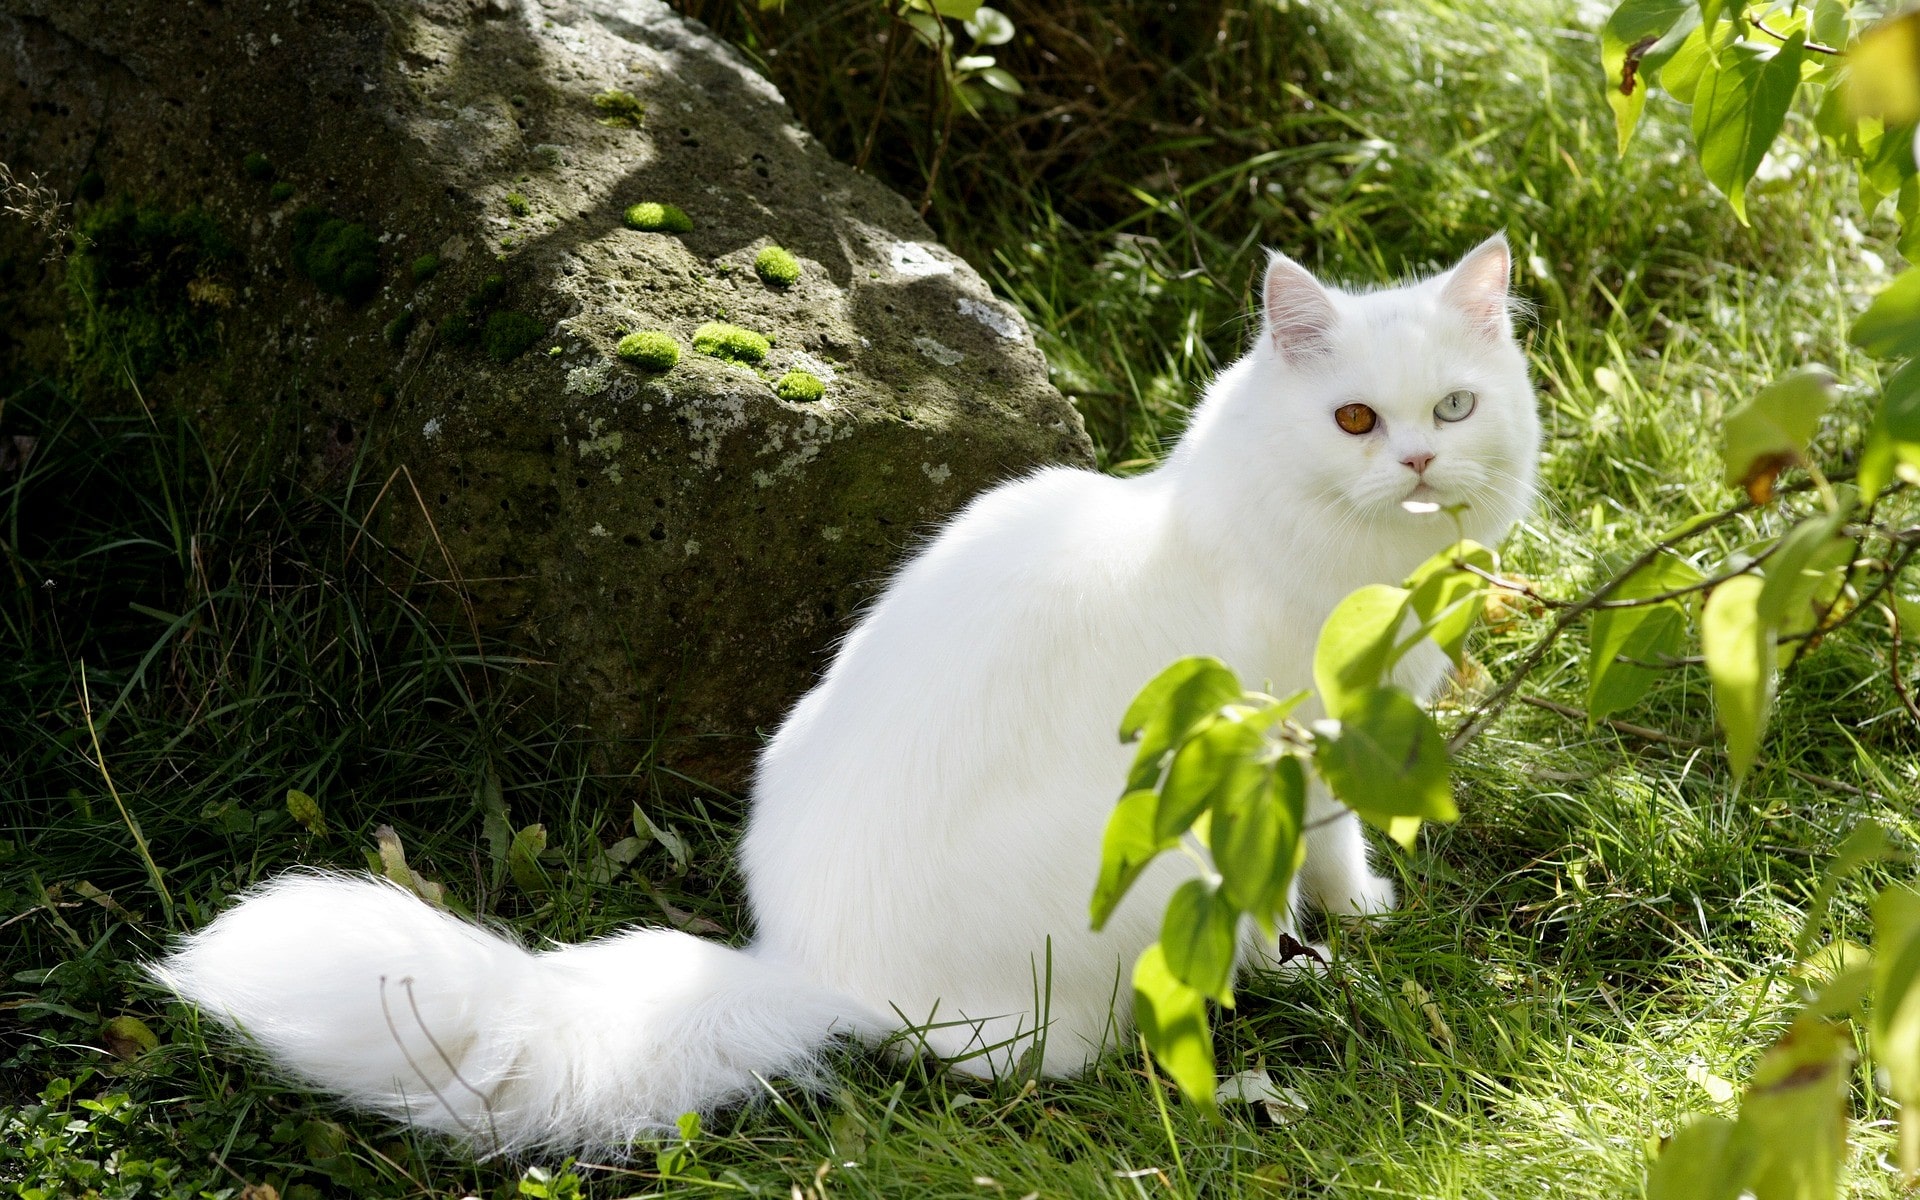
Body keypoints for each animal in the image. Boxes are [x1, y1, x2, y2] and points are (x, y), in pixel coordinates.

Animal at [149, 231, 1536, 1152]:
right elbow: (1327, 854)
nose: (1418, 463)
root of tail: (807, 970)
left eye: (1454, 408)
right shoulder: (1301, 747)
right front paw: (1348, 929)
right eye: (1354, 421)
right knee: (1036, 1057)